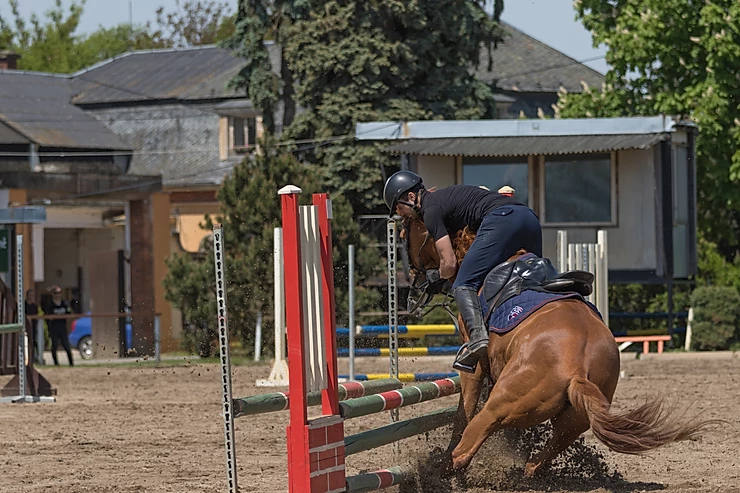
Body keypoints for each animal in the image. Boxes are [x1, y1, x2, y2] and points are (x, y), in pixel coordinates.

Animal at [402, 217, 720, 474]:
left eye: (408, 233)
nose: (412, 282)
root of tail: (577, 369)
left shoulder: (475, 362)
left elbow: (463, 410)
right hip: (572, 423)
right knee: (538, 461)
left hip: (500, 408)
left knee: (468, 446)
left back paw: (436, 471)